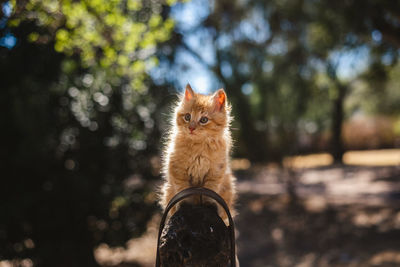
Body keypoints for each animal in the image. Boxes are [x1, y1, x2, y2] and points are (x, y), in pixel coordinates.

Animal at [159, 84, 236, 220]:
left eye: (204, 120)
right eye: (187, 117)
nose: (191, 128)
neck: (198, 146)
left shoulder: (215, 172)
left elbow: (209, 190)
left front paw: (209, 204)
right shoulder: (178, 169)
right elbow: (183, 189)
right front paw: (185, 204)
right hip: (167, 190)